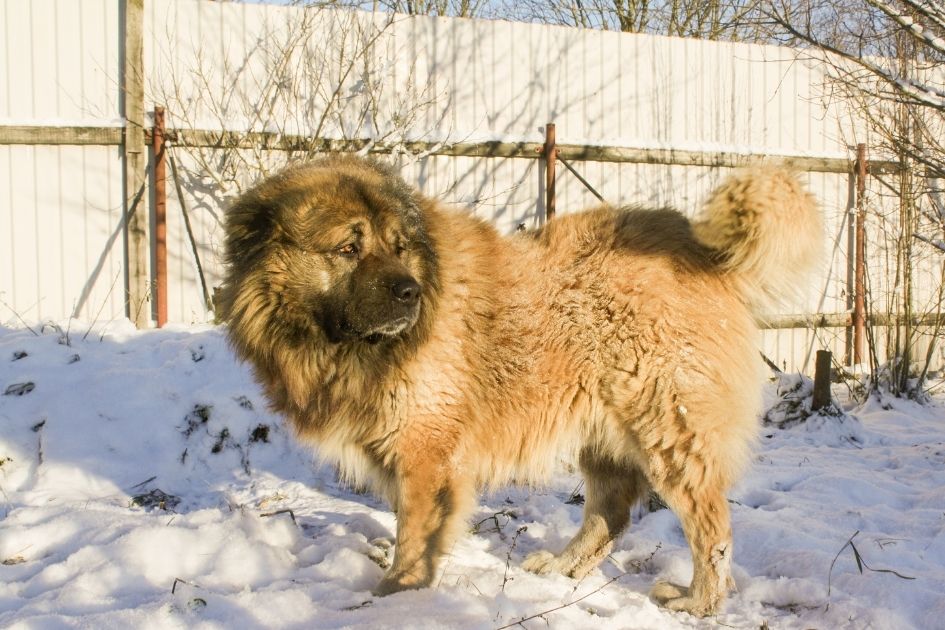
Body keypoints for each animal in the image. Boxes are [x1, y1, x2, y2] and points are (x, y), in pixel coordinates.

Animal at [219, 156, 820, 620]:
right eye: (348, 249)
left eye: (398, 246)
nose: (411, 293)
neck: (344, 348)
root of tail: (700, 248)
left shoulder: (426, 453)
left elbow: (415, 536)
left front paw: (395, 599)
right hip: (604, 435)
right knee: (610, 515)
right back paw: (561, 570)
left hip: (670, 432)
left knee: (710, 529)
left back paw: (698, 602)